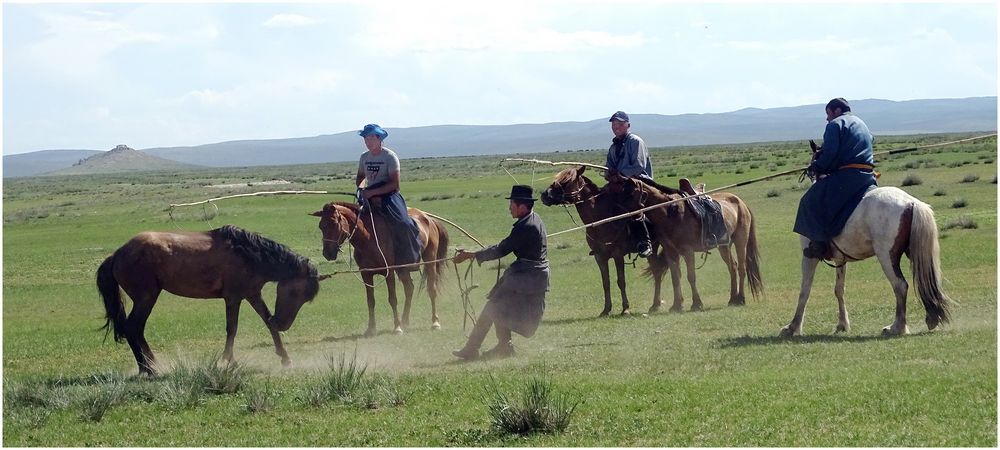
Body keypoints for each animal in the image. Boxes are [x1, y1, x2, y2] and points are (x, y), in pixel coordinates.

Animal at [96, 225, 322, 376]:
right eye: (295, 293)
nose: (283, 323)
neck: (249, 255)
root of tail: (117, 254)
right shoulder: (233, 298)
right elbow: (232, 329)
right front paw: (228, 361)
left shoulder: (252, 295)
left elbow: (267, 322)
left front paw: (285, 358)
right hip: (146, 298)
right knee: (133, 327)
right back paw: (150, 368)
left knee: (135, 329)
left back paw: (148, 367)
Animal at [308, 201, 450, 338]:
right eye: (321, 226)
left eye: (334, 223)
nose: (327, 253)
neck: (368, 238)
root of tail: (430, 220)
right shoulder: (366, 274)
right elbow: (370, 301)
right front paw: (371, 329)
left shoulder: (389, 272)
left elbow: (392, 299)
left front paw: (397, 328)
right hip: (402, 269)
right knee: (409, 288)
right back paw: (405, 322)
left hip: (430, 261)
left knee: (431, 289)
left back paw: (435, 322)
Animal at [600, 174, 764, 312]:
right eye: (620, 193)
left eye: (629, 194)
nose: (616, 219)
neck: (669, 212)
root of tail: (741, 202)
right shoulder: (671, 252)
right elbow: (675, 277)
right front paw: (676, 305)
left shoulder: (687, 251)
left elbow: (691, 276)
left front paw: (696, 304)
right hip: (724, 245)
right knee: (733, 267)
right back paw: (732, 299)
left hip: (740, 241)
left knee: (741, 267)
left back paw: (740, 298)